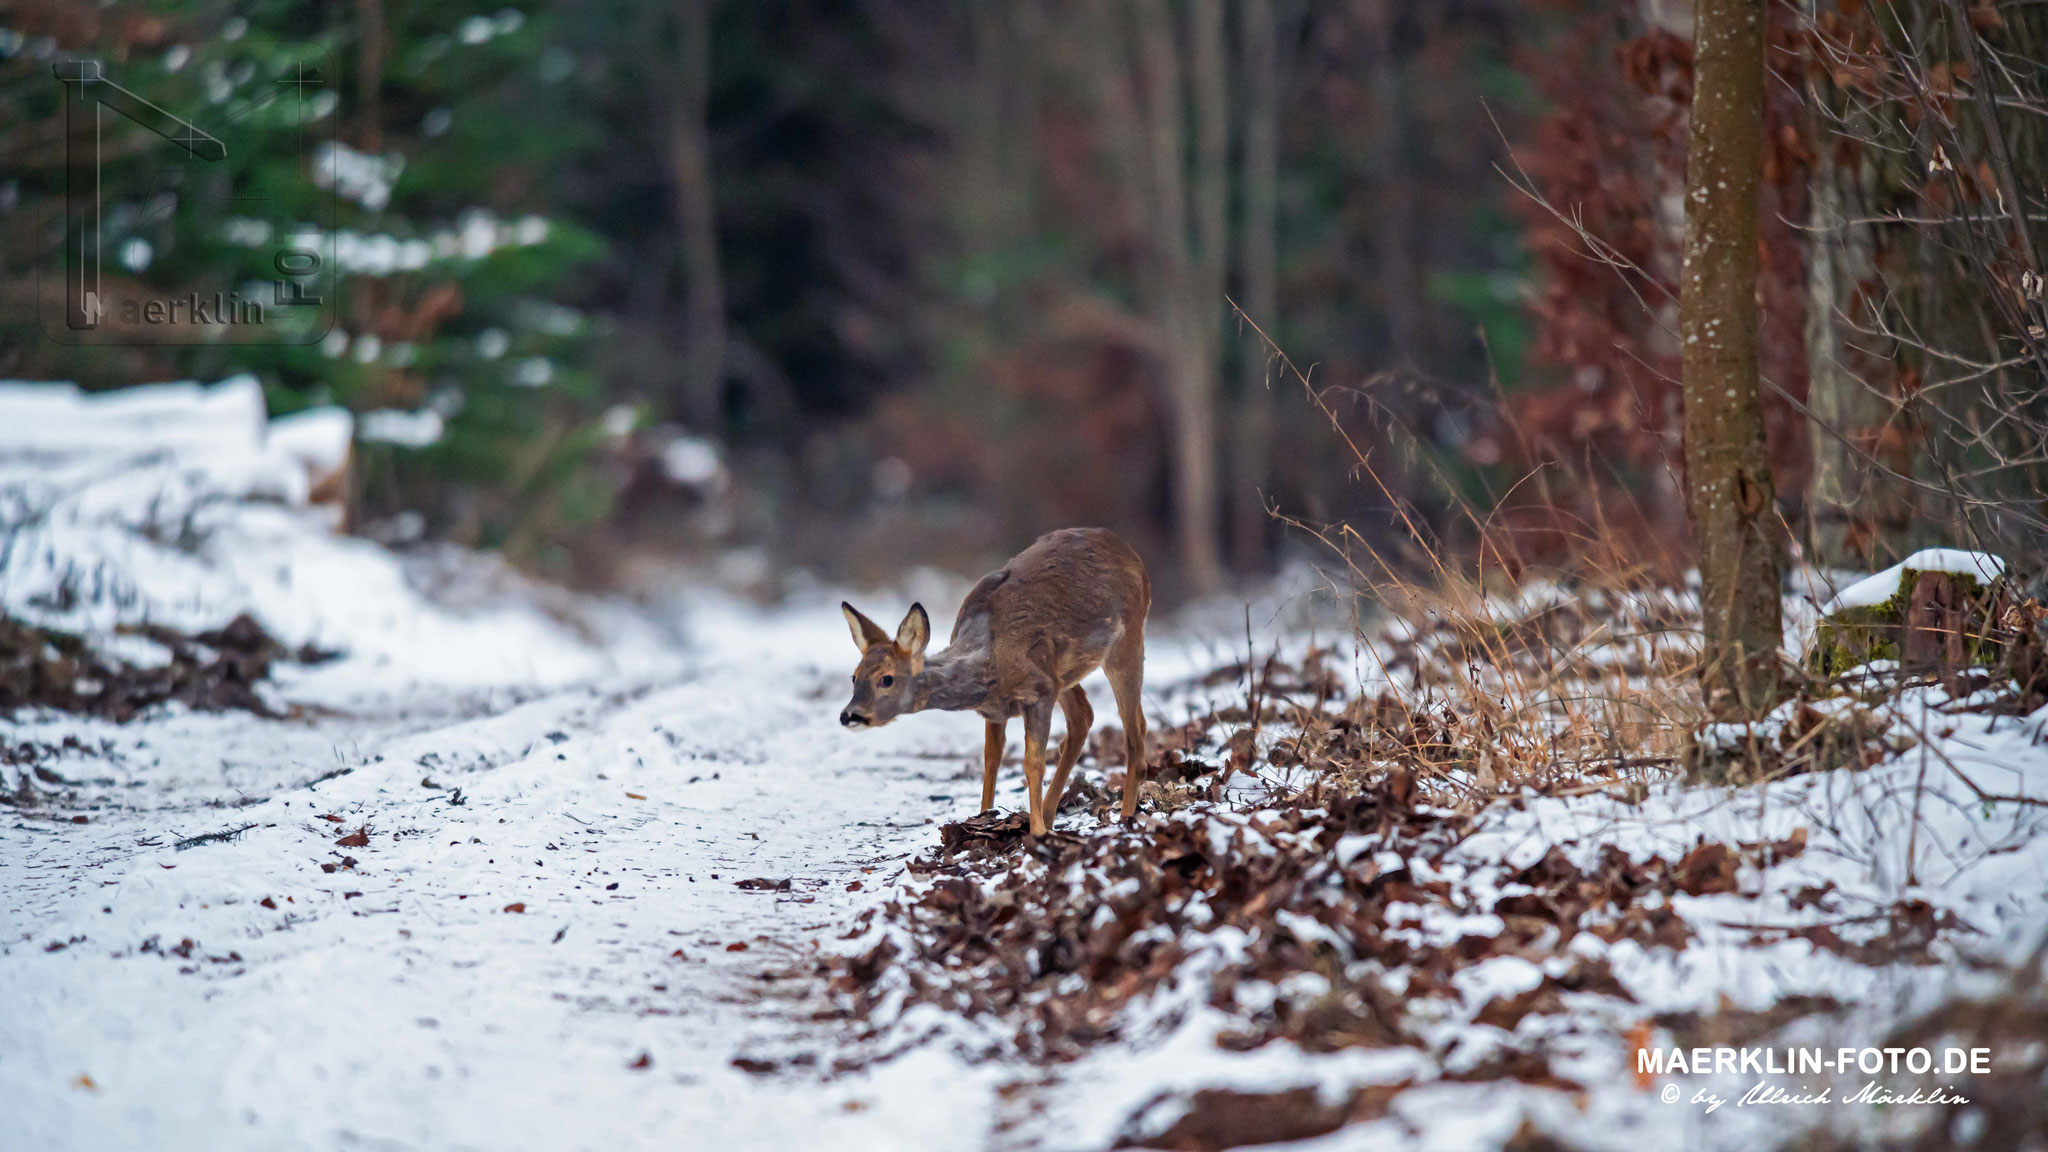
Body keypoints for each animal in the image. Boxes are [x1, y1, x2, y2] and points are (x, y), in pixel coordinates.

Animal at [835, 524, 1155, 828]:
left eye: (886, 679)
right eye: (854, 677)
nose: (849, 714)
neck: (990, 655)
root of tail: (1133, 555)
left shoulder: (1039, 691)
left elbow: (1032, 762)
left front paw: (1036, 832)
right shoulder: (997, 707)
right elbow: (991, 759)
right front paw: (986, 816)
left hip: (1126, 639)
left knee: (1135, 731)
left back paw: (1124, 818)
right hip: (1066, 673)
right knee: (1083, 718)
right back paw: (1052, 814)